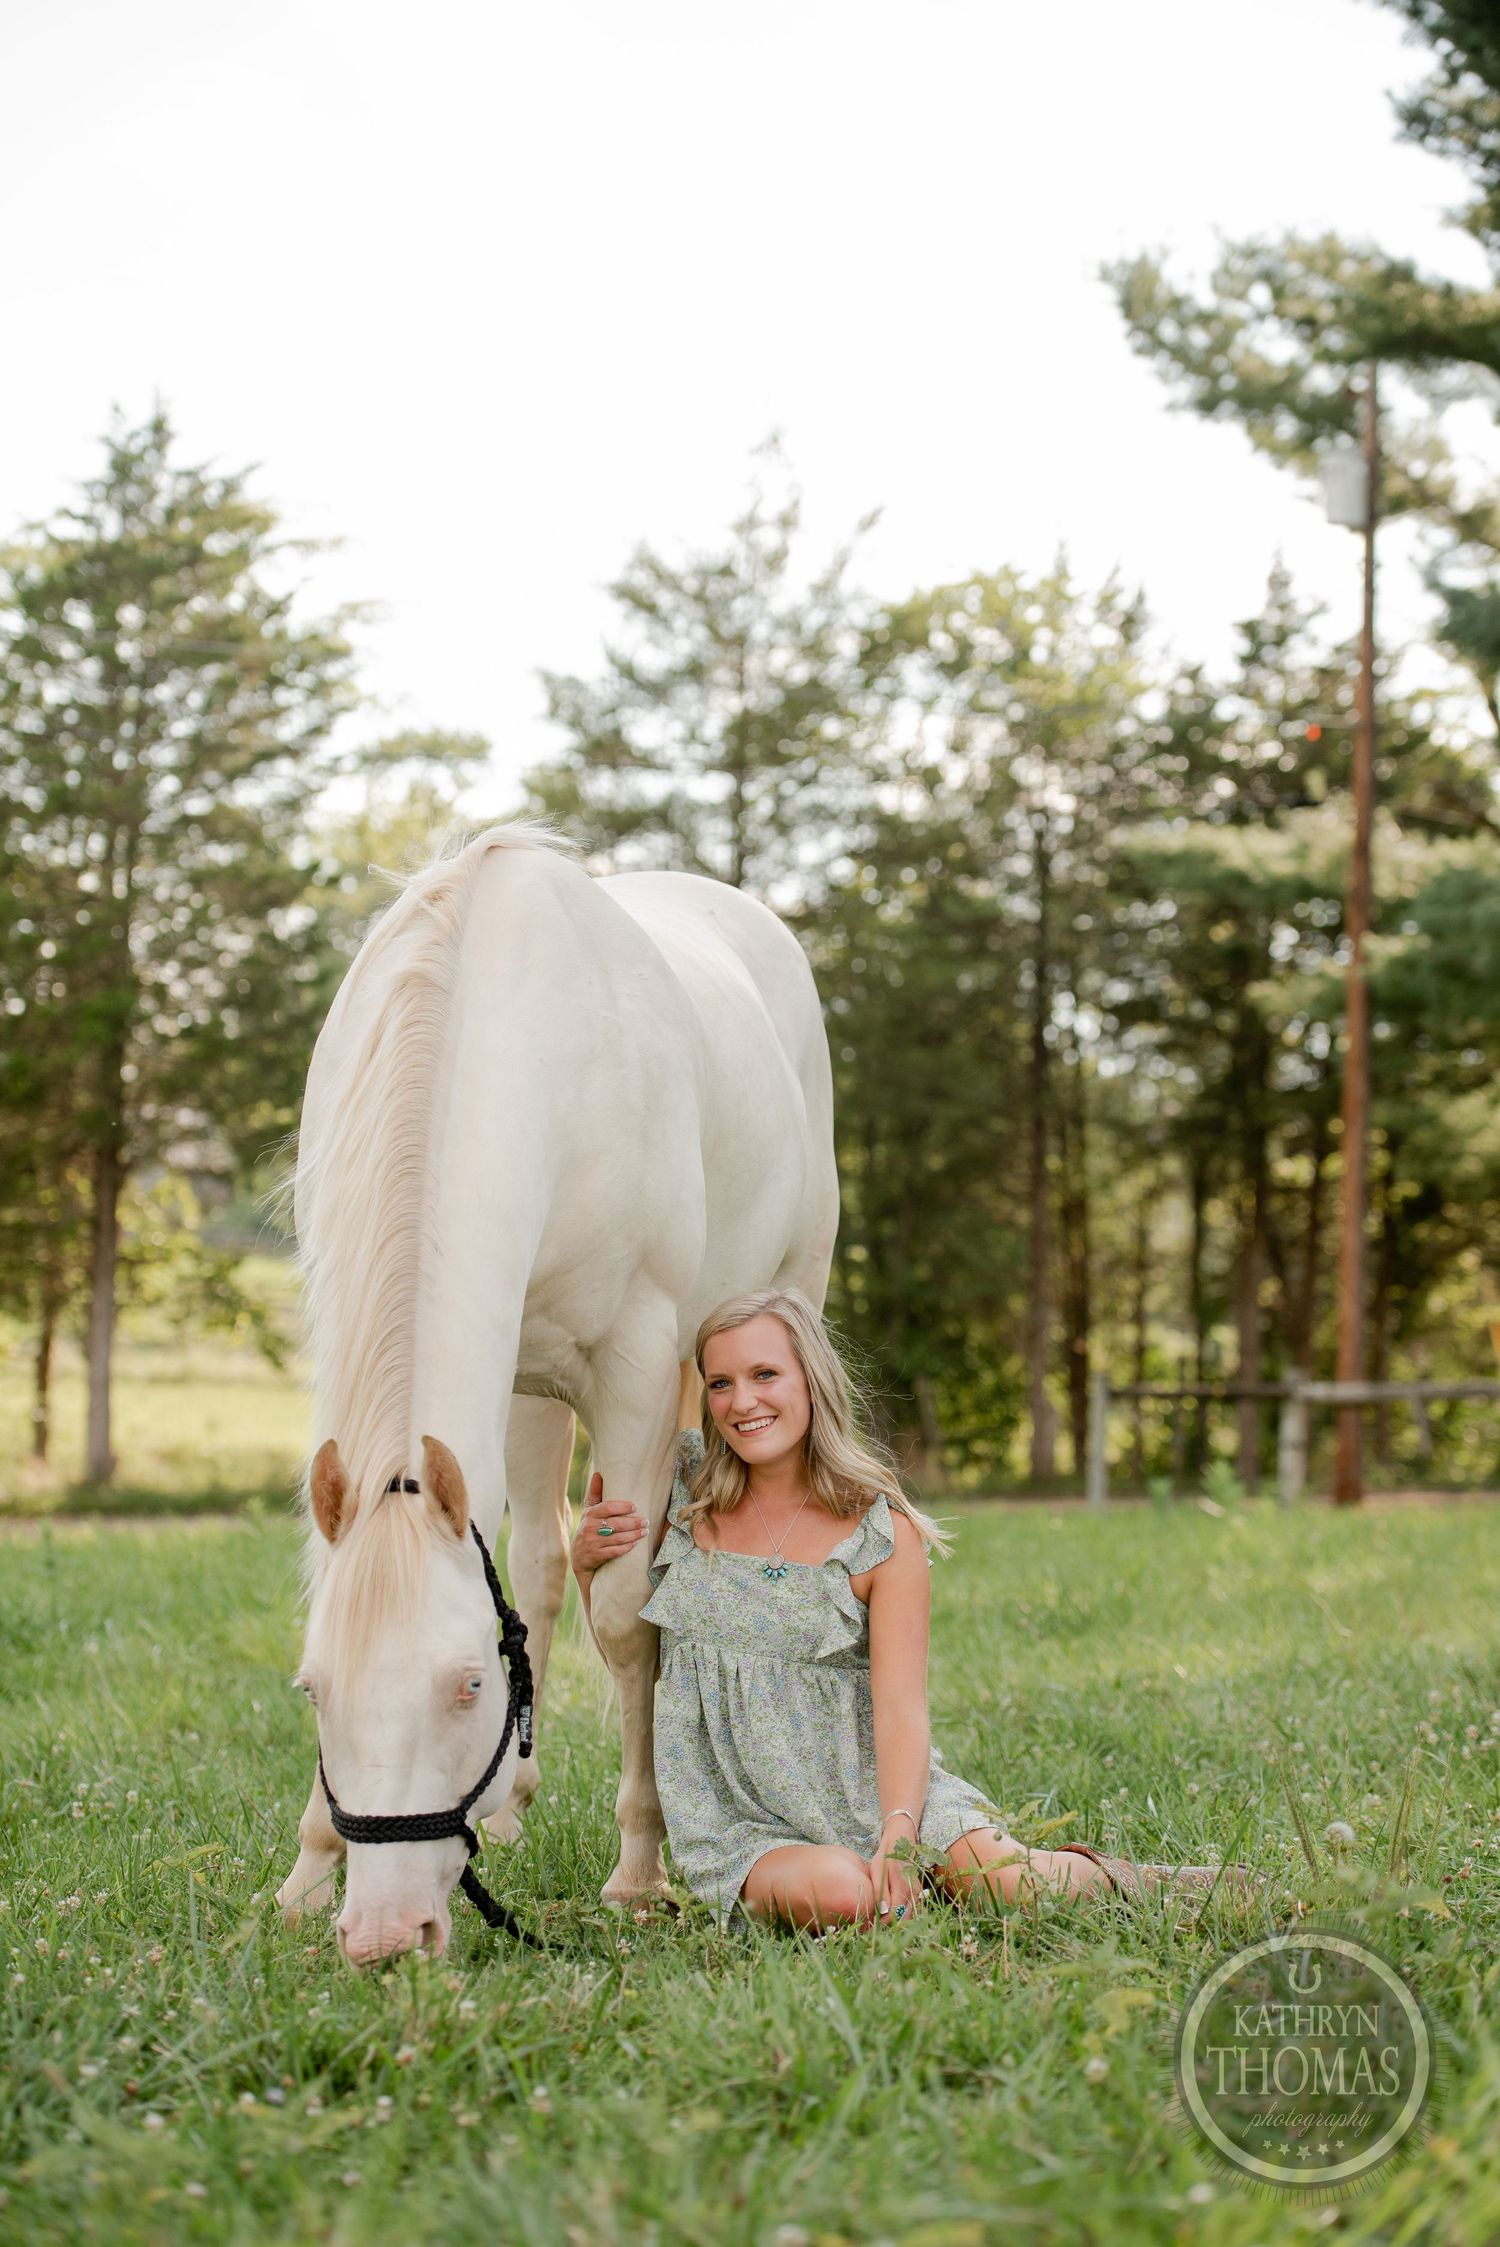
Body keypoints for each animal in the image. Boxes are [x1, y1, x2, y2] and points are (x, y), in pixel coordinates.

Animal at [273, 821, 838, 1964]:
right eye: (315, 1690)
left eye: (466, 1686)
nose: (387, 1934)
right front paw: (310, 1868)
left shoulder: (635, 1363)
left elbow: (626, 1617)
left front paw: (640, 1869)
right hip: (529, 1393)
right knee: (533, 1565)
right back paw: (511, 1806)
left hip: (784, 1291)